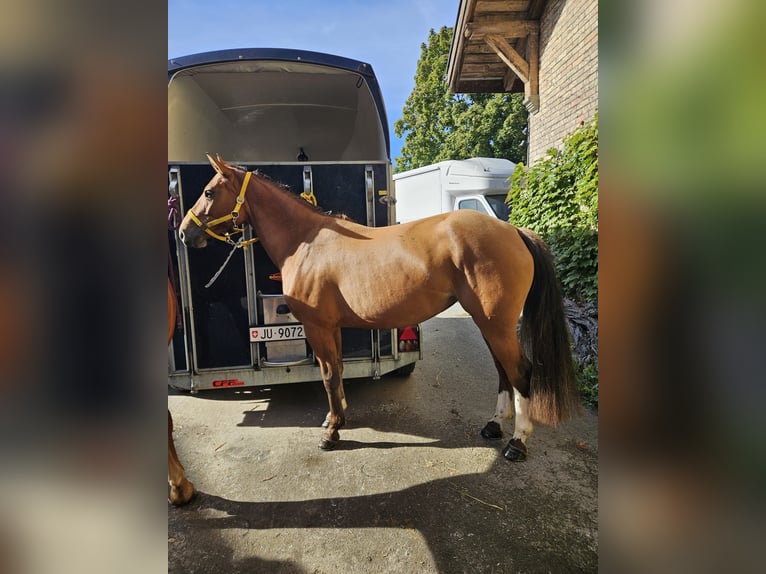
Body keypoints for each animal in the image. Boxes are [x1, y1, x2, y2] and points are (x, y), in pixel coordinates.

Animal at [178, 154, 580, 461]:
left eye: (209, 191)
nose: (184, 232)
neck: (306, 242)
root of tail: (514, 231)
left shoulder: (318, 327)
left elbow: (328, 375)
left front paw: (331, 434)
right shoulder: (332, 328)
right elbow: (337, 372)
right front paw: (335, 421)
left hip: (496, 323)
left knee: (521, 372)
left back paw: (517, 443)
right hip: (489, 323)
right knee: (502, 371)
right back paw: (494, 426)